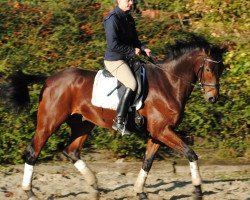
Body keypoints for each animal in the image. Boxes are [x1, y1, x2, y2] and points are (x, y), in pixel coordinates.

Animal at [10, 37, 228, 198]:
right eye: (209, 69)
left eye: (222, 69)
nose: (213, 98)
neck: (169, 82)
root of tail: (49, 79)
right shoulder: (162, 131)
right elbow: (190, 153)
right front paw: (198, 190)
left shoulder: (157, 134)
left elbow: (147, 162)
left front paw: (140, 191)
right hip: (49, 122)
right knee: (33, 152)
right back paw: (29, 192)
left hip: (83, 124)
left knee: (71, 151)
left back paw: (95, 187)